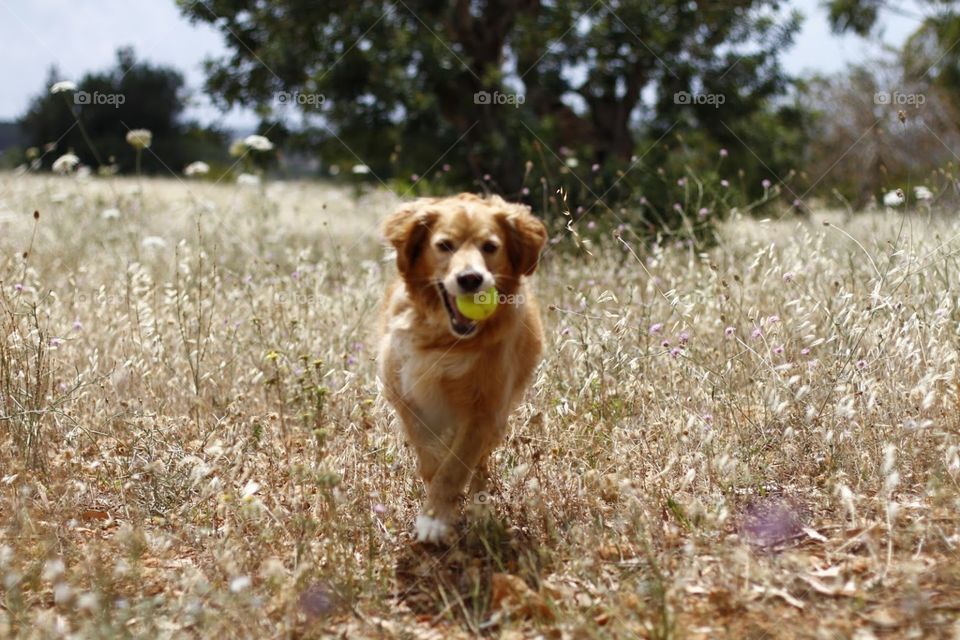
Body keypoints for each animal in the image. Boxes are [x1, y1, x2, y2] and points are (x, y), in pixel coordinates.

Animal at [380, 192, 548, 544]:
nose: (470, 279)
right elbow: (431, 459)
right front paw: (437, 509)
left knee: (481, 466)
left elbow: (455, 467)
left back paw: (480, 509)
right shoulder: (406, 399)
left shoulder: (485, 411)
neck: (446, 338)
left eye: (490, 247)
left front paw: (435, 519)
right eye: (445, 245)